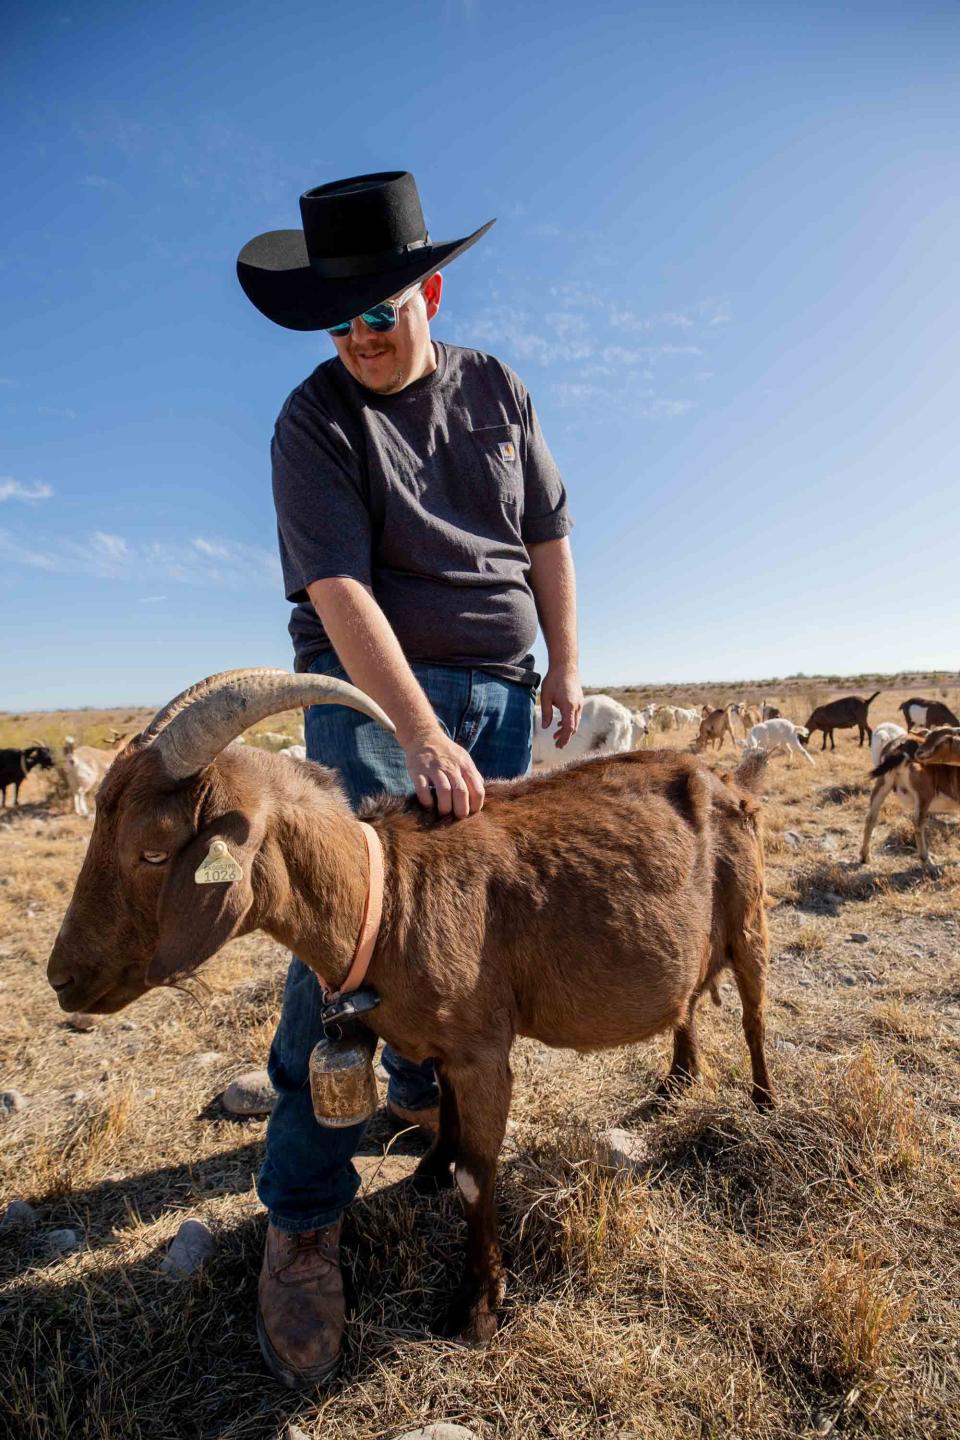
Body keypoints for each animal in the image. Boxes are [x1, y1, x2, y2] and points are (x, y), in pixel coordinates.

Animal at [48, 668, 777, 1342]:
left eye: (153, 850)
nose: (63, 979)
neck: (389, 893)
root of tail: (725, 778)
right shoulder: (445, 1048)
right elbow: (444, 1119)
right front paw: (428, 1170)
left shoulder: (483, 1053)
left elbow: (478, 1177)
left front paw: (477, 1305)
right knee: (687, 1004)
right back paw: (679, 1078)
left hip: (749, 923)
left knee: (753, 1015)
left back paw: (764, 1102)